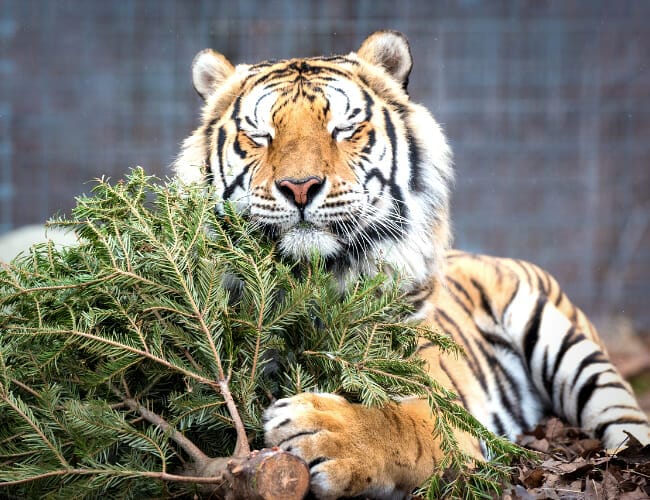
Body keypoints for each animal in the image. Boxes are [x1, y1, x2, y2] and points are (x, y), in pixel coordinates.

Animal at [174, 30, 650, 499]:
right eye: (259, 135)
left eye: (344, 129)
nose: (300, 186)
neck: (316, 282)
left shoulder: (439, 402)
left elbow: (399, 424)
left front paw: (323, 430)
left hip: (569, 346)